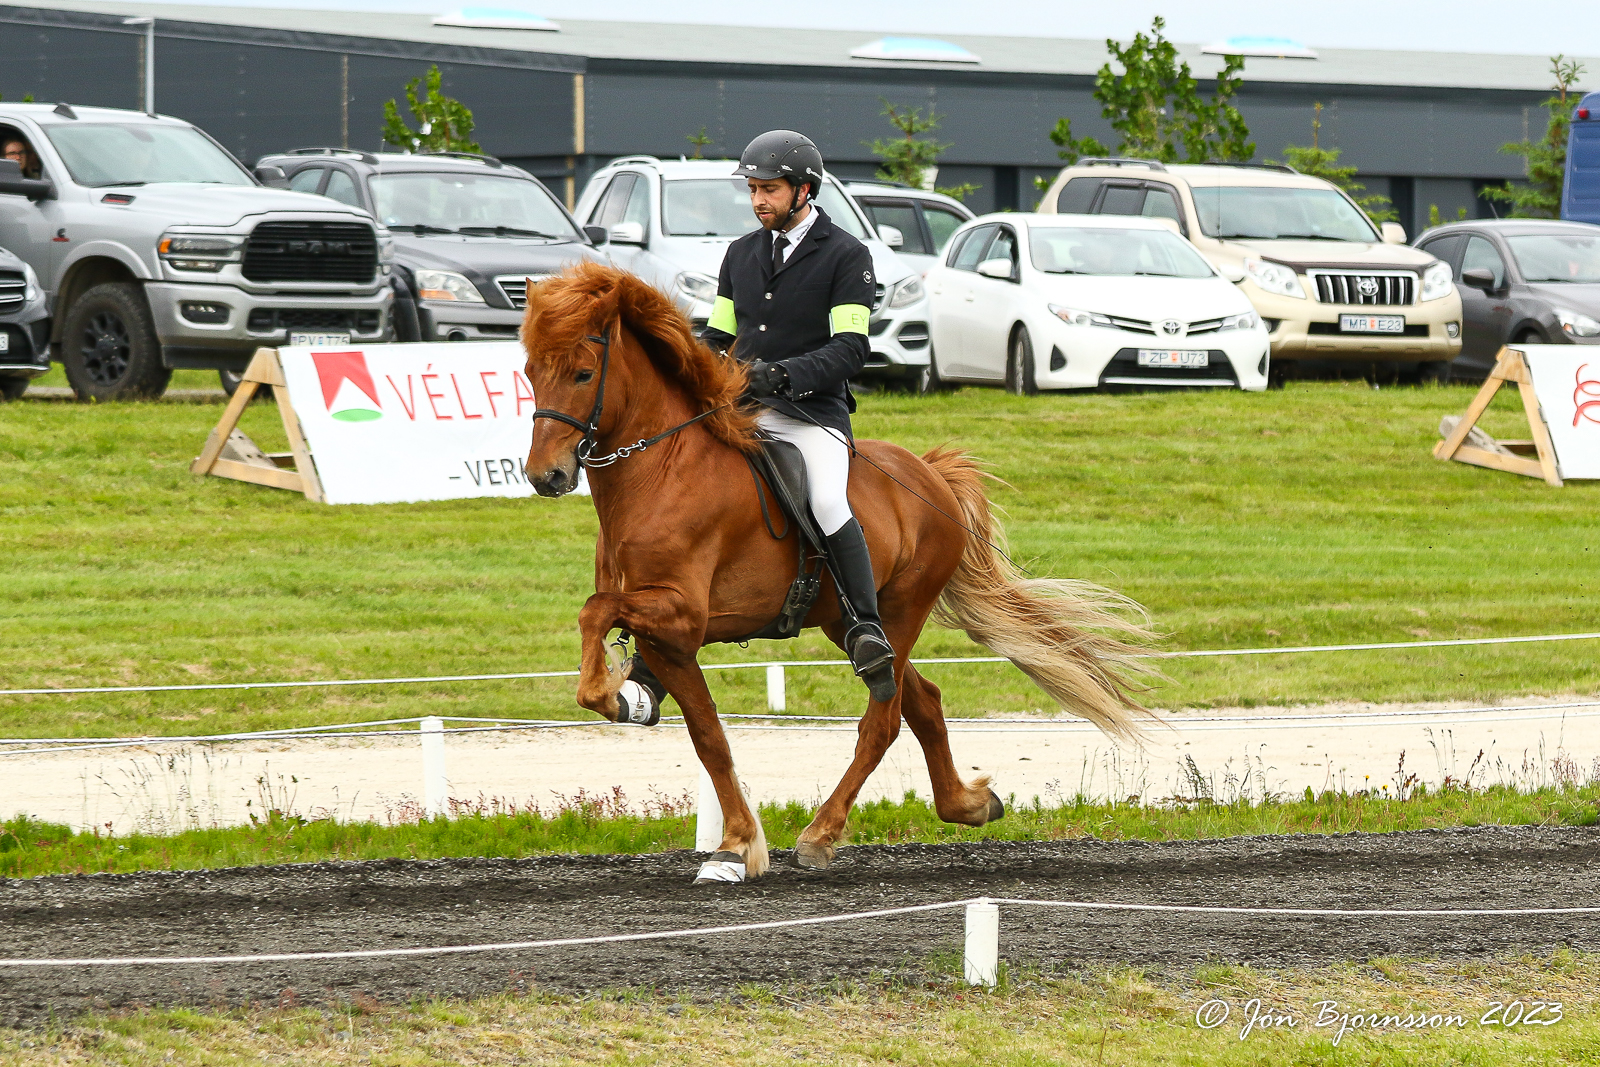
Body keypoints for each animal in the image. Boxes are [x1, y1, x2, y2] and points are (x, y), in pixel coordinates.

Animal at [521, 260, 1152, 883]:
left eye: (582, 374)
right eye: (529, 372)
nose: (544, 476)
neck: (663, 472)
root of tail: (929, 474)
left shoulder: (680, 615)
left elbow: (596, 614)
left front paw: (610, 695)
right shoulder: (668, 636)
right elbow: (708, 735)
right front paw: (732, 842)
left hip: (900, 610)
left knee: (885, 719)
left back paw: (822, 834)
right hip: (841, 618)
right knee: (923, 699)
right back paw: (967, 805)